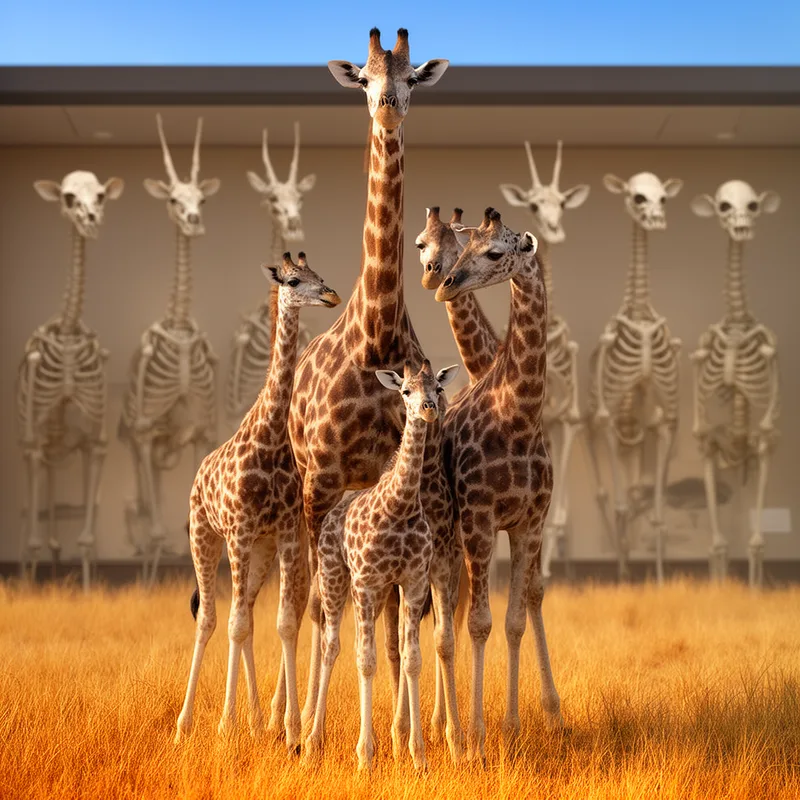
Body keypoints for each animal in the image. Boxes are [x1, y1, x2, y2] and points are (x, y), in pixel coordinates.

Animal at [18, 171, 123, 591]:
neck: (67, 329)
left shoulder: (95, 439)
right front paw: (30, 587)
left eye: (100, 195)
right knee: (38, 496)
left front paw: (88, 589)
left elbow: (87, 534)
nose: (91, 219)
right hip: (43, 442)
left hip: (66, 446)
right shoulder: (33, 438)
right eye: (67, 197)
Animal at [175, 252, 341, 751]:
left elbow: (281, 622)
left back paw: (249, 718)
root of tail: (196, 476)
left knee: (243, 608)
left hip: (259, 552)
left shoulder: (282, 533)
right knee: (212, 618)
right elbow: (232, 625)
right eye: (293, 281)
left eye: (319, 275)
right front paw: (225, 726)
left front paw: (289, 732)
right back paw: (186, 724)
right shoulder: (239, 531)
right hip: (206, 538)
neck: (270, 436)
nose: (331, 295)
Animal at [305, 360, 459, 771]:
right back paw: (311, 744)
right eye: (405, 391)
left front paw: (418, 757)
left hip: (377, 594)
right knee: (331, 645)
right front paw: (365, 758)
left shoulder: (413, 581)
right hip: (335, 577)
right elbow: (365, 661)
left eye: (438, 387)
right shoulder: (365, 582)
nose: (428, 408)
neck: (399, 506)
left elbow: (411, 659)